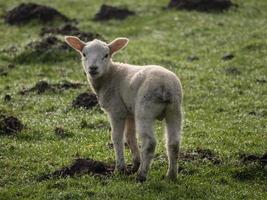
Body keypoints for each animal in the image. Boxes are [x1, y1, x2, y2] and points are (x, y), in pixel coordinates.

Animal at [64, 35, 184, 181]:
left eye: (106, 55)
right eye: (84, 54)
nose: (93, 68)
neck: (110, 75)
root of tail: (165, 87)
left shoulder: (117, 111)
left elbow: (117, 138)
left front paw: (120, 169)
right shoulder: (130, 112)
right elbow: (130, 136)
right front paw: (135, 163)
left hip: (145, 110)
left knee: (149, 143)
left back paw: (141, 175)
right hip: (174, 109)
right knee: (174, 143)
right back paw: (171, 175)